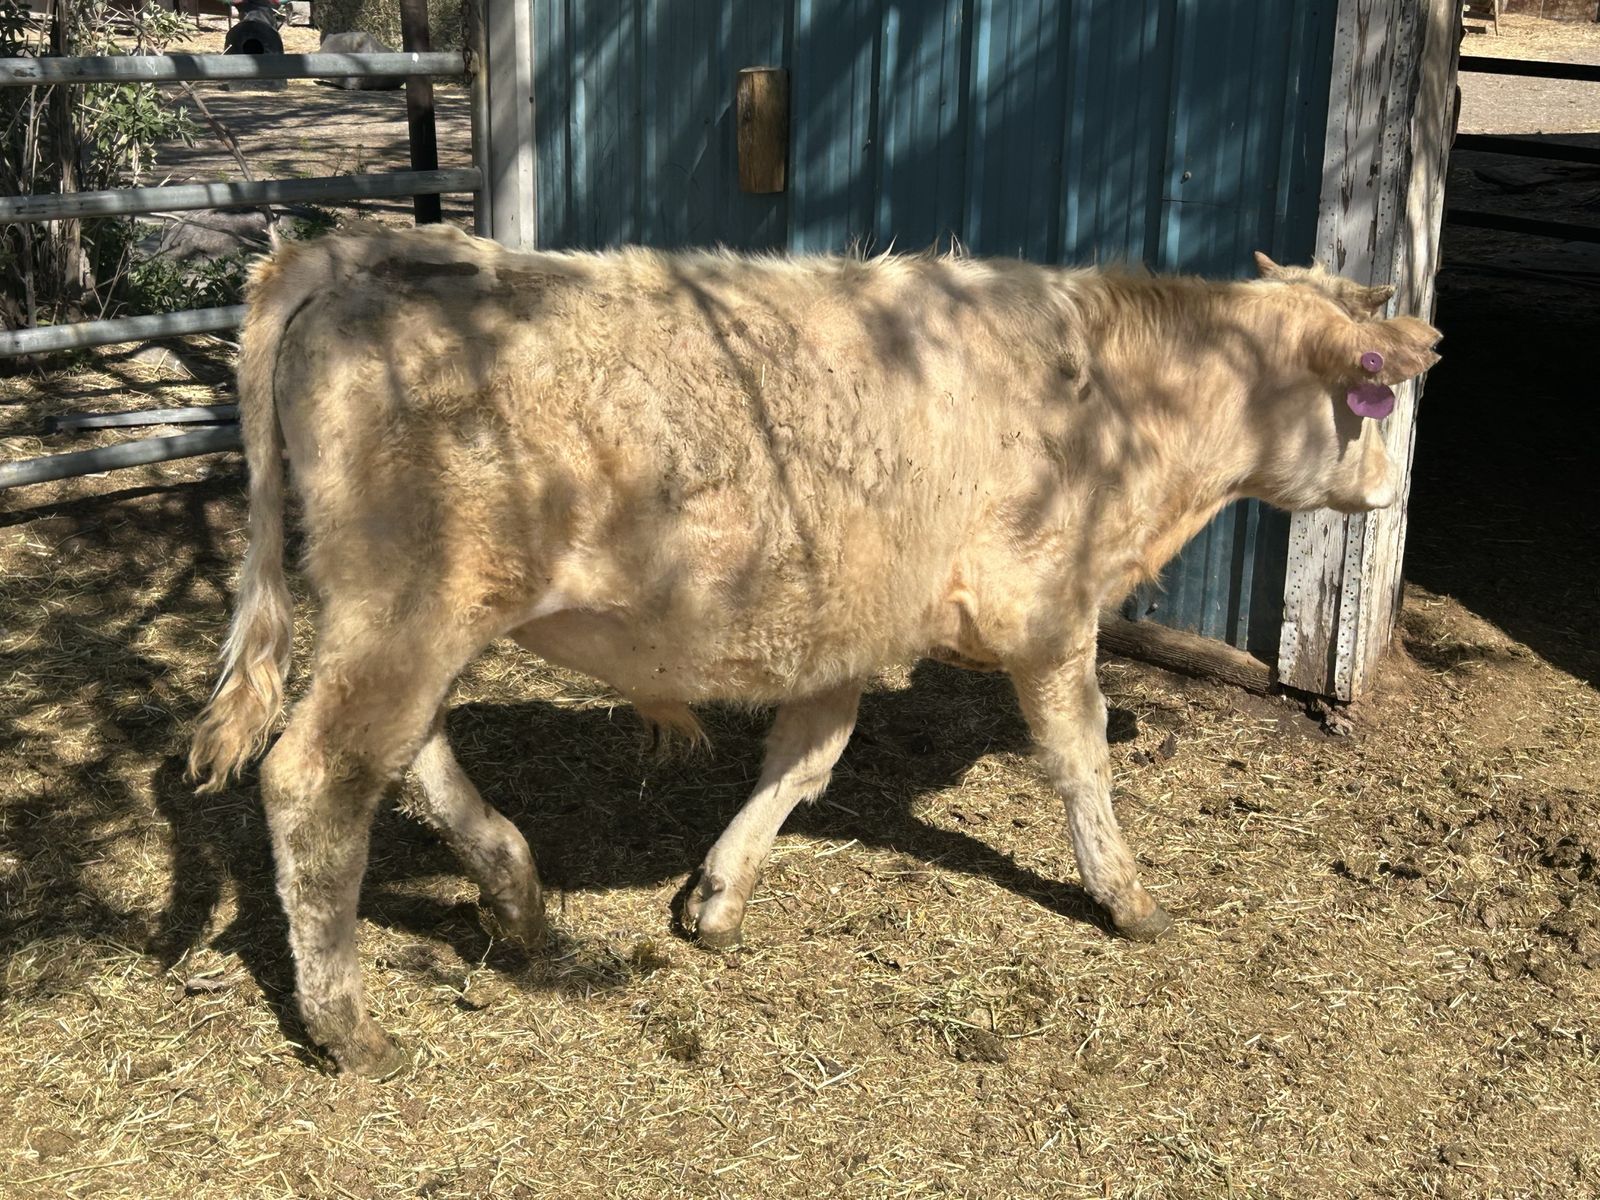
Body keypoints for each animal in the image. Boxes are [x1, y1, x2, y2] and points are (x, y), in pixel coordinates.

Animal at [188, 225, 1440, 1076]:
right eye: (1375, 404)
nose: (1393, 497)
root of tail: (366, 248)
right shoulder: (1045, 607)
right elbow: (1080, 759)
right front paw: (1127, 898)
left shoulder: (843, 625)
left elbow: (806, 760)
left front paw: (717, 895)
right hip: (408, 604)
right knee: (318, 779)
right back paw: (350, 1028)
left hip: (408, 614)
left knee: (406, 751)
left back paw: (513, 889)